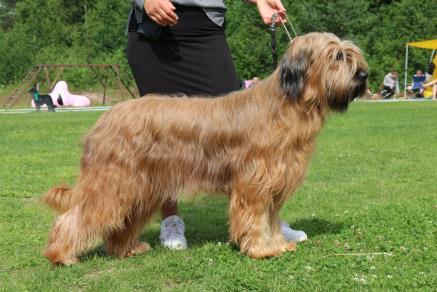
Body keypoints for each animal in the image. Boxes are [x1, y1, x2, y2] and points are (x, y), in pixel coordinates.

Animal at [42, 32, 366, 264]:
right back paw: (61, 255)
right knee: (77, 215)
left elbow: (270, 219)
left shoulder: (273, 183)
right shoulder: (254, 184)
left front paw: (276, 243)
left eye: (351, 55)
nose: (363, 76)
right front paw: (262, 249)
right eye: (337, 56)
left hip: (140, 187)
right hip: (113, 182)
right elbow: (255, 219)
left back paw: (126, 249)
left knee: (121, 223)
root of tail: (104, 118)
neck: (286, 105)